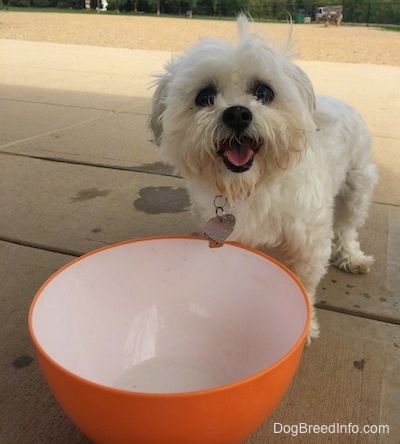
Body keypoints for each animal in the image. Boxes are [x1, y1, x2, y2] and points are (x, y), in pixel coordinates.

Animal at [148, 13, 378, 340]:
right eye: (205, 96)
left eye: (264, 92)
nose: (236, 113)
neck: (252, 188)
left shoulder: (309, 244)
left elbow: (304, 285)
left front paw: (306, 326)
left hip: (357, 186)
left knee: (347, 228)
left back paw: (352, 257)